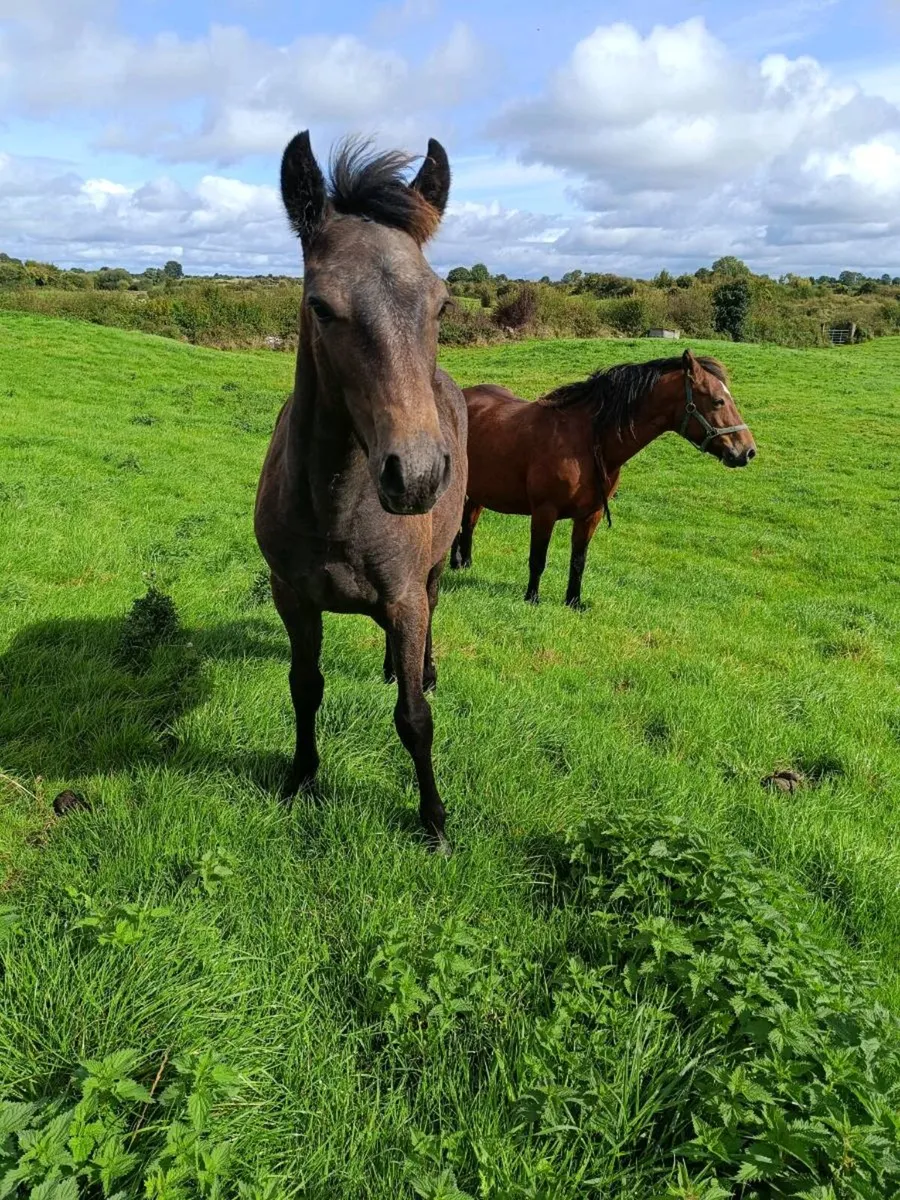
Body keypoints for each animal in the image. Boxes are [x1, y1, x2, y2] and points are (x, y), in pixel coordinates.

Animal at [255, 132, 467, 854]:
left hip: (433, 573)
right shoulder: (291, 595)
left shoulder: (405, 596)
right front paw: (300, 778)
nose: (418, 474)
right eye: (321, 306)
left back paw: (422, 666)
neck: (338, 507)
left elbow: (415, 718)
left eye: (440, 304)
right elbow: (303, 686)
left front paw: (434, 821)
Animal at [450, 349, 755, 608]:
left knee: (468, 521)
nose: (747, 451)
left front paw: (573, 602)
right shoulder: (544, 511)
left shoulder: (591, 515)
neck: (585, 440)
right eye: (718, 400)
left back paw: (462, 563)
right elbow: (538, 558)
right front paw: (532, 599)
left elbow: (578, 561)